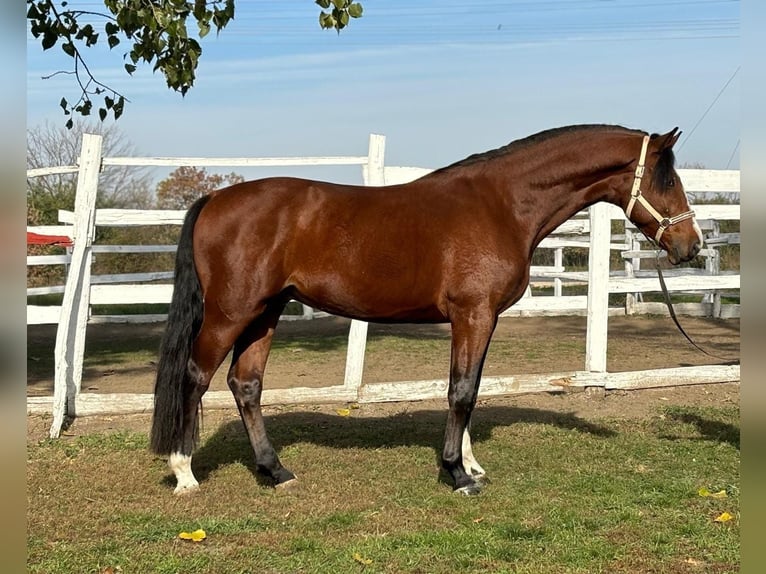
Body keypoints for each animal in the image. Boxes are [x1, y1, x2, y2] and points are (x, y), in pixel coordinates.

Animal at [152, 124, 708, 498]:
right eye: (667, 181)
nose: (691, 245)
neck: (501, 204)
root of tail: (216, 198)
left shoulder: (481, 319)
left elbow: (471, 389)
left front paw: (470, 463)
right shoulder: (473, 314)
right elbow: (461, 392)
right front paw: (457, 474)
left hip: (265, 313)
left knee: (245, 385)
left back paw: (275, 472)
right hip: (231, 313)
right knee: (195, 376)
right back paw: (184, 473)